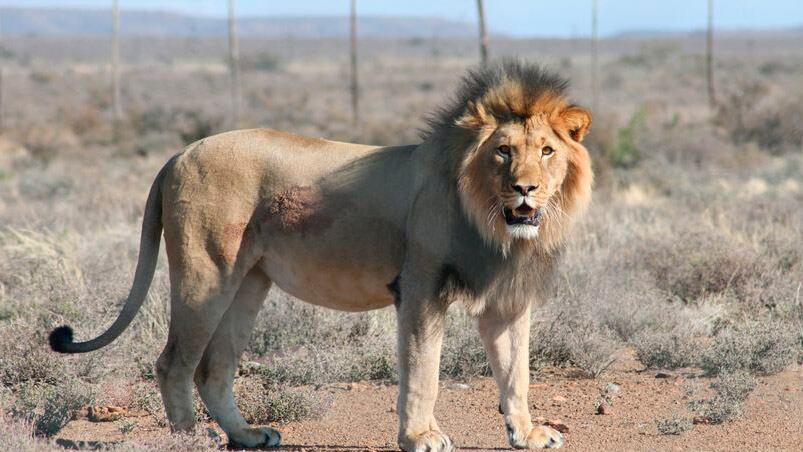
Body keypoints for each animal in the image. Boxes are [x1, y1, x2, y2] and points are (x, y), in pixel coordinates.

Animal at [48, 61, 592, 452]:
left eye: (546, 151)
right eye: (503, 151)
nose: (525, 189)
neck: (492, 221)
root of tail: (178, 154)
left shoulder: (507, 300)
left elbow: (516, 372)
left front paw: (527, 433)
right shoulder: (421, 289)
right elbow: (423, 373)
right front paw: (420, 437)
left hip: (248, 283)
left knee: (213, 369)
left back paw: (247, 436)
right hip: (205, 274)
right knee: (173, 364)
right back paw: (189, 440)